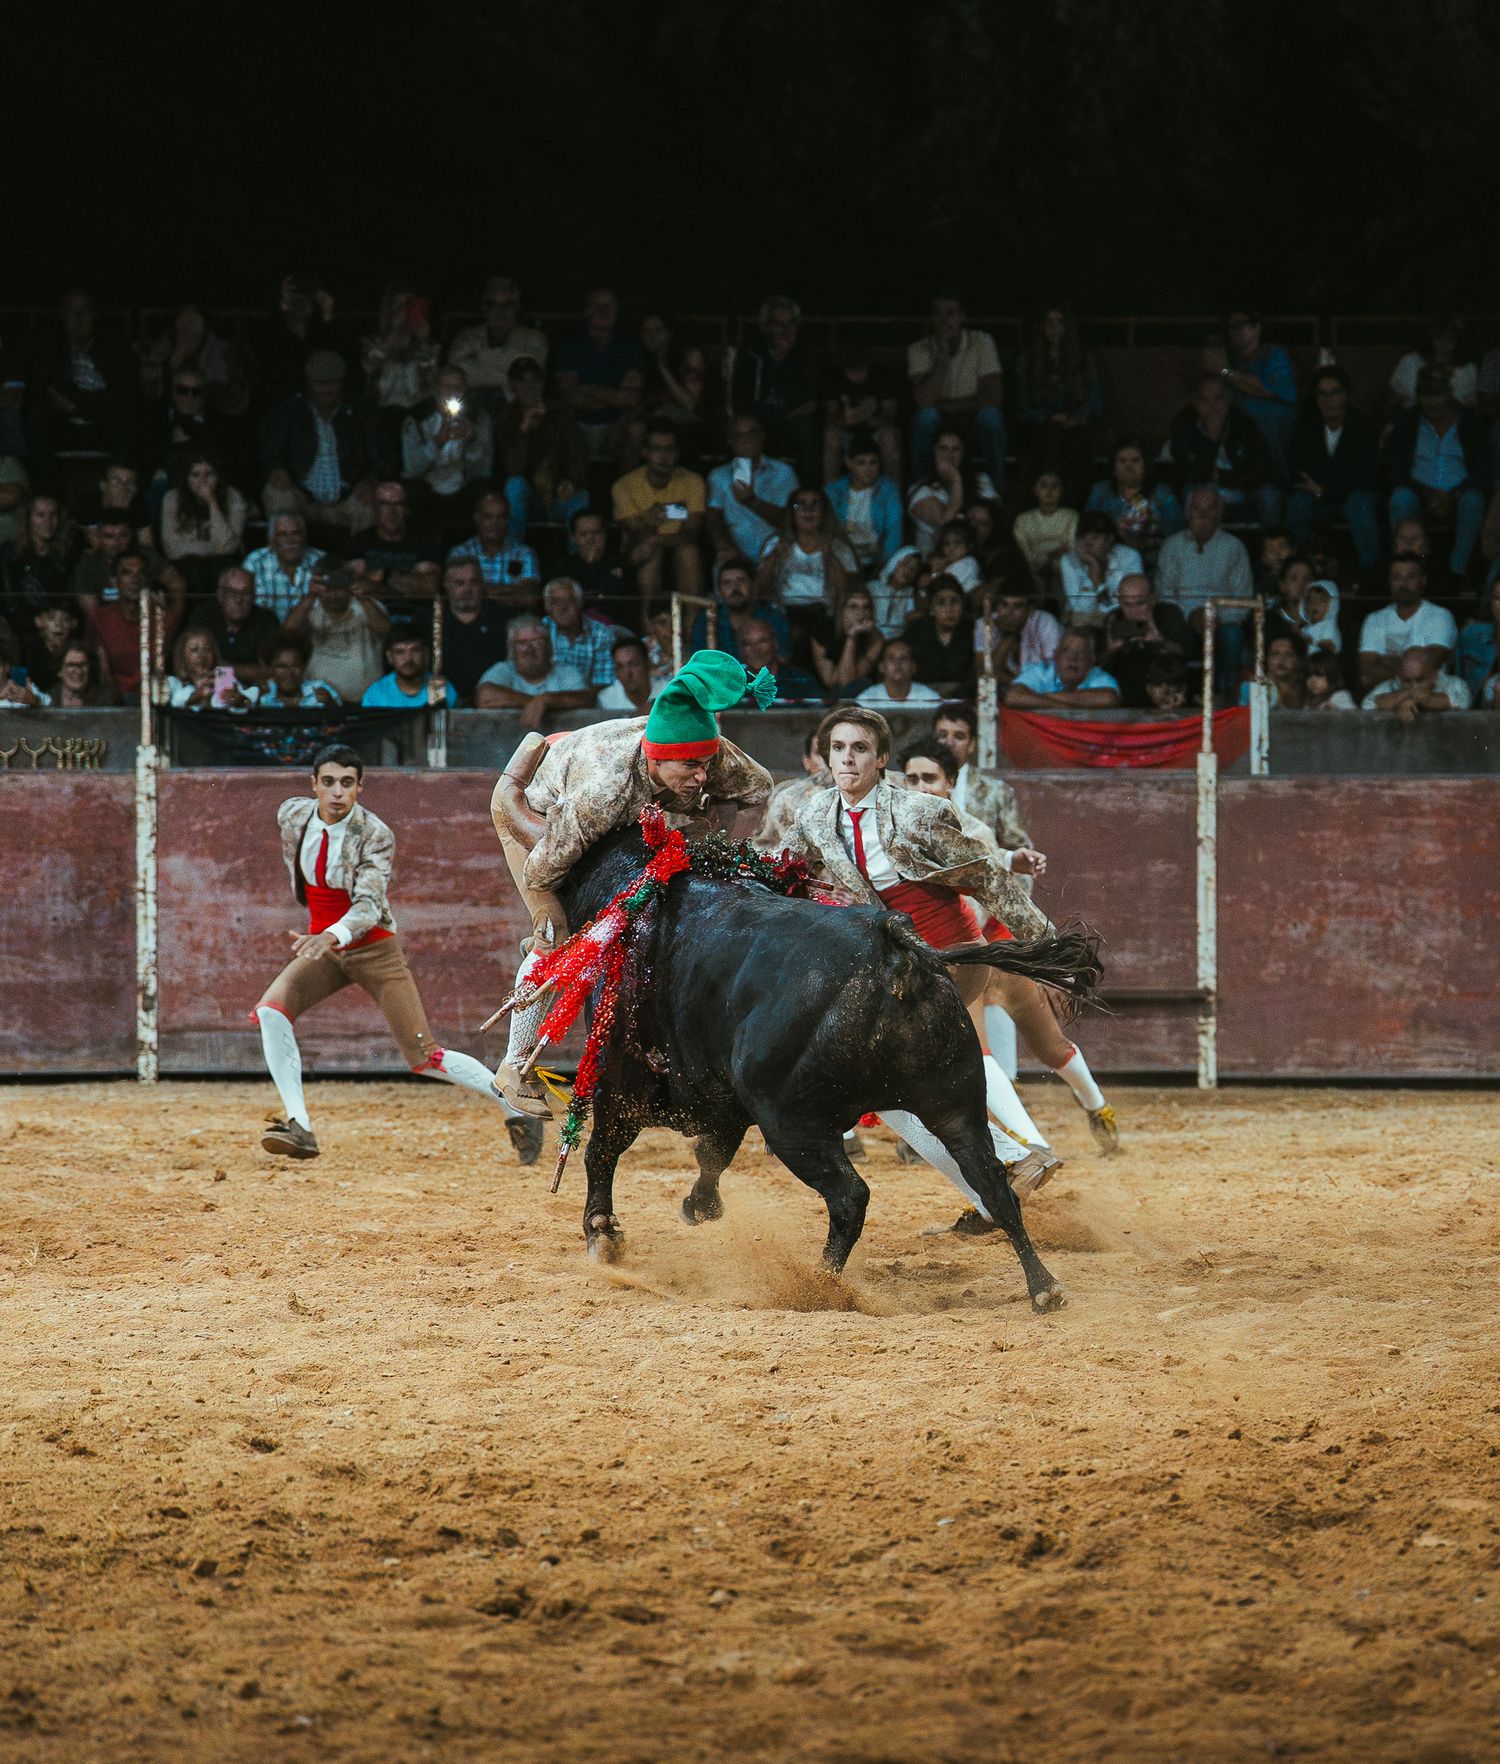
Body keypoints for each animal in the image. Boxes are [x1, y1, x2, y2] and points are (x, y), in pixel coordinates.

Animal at [541, 821, 1101, 1313]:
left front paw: (603, 1234)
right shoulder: (725, 1098)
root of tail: (896, 957)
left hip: (795, 1126)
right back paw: (1044, 1288)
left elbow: (603, 1152)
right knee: (994, 1187)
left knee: (850, 1197)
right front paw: (698, 1207)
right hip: (954, 1105)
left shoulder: (621, 1083)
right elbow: (712, 1155)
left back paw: (820, 1285)